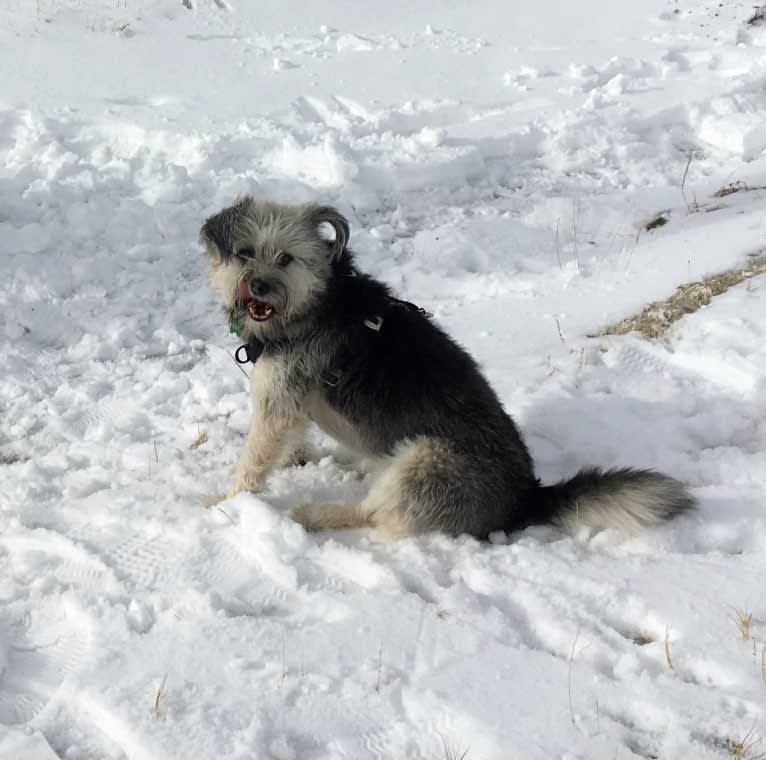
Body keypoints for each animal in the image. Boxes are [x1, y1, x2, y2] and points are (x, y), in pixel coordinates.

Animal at [201, 199, 700, 536]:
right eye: (244, 252)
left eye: (286, 258)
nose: (258, 286)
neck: (315, 305)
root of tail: (526, 497)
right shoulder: (291, 402)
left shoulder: (277, 404)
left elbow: (253, 461)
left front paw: (224, 503)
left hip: (425, 460)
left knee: (374, 513)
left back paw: (314, 513)